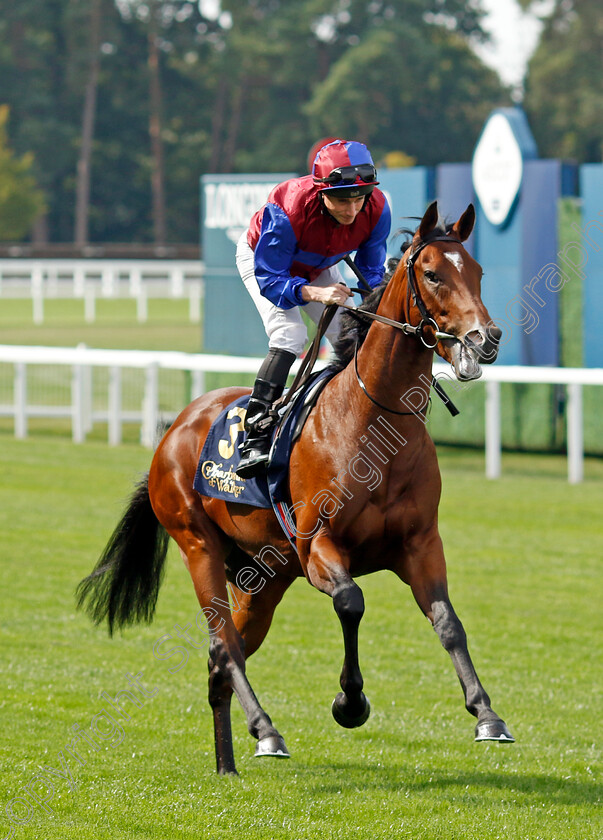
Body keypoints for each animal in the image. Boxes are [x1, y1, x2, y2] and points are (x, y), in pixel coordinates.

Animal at [78, 202, 516, 776]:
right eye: (432, 274)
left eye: (479, 271)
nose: (484, 338)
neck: (374, 421)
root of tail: (173, 430)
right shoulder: (317, 546)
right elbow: (351, 602)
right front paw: (350, 702)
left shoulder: (420, 544)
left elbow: (448, 623)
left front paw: (487, 714)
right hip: (198, 545)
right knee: (225, 643)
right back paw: (266, 731)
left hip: (262, 578)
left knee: (223, 657)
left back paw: (227, 763)